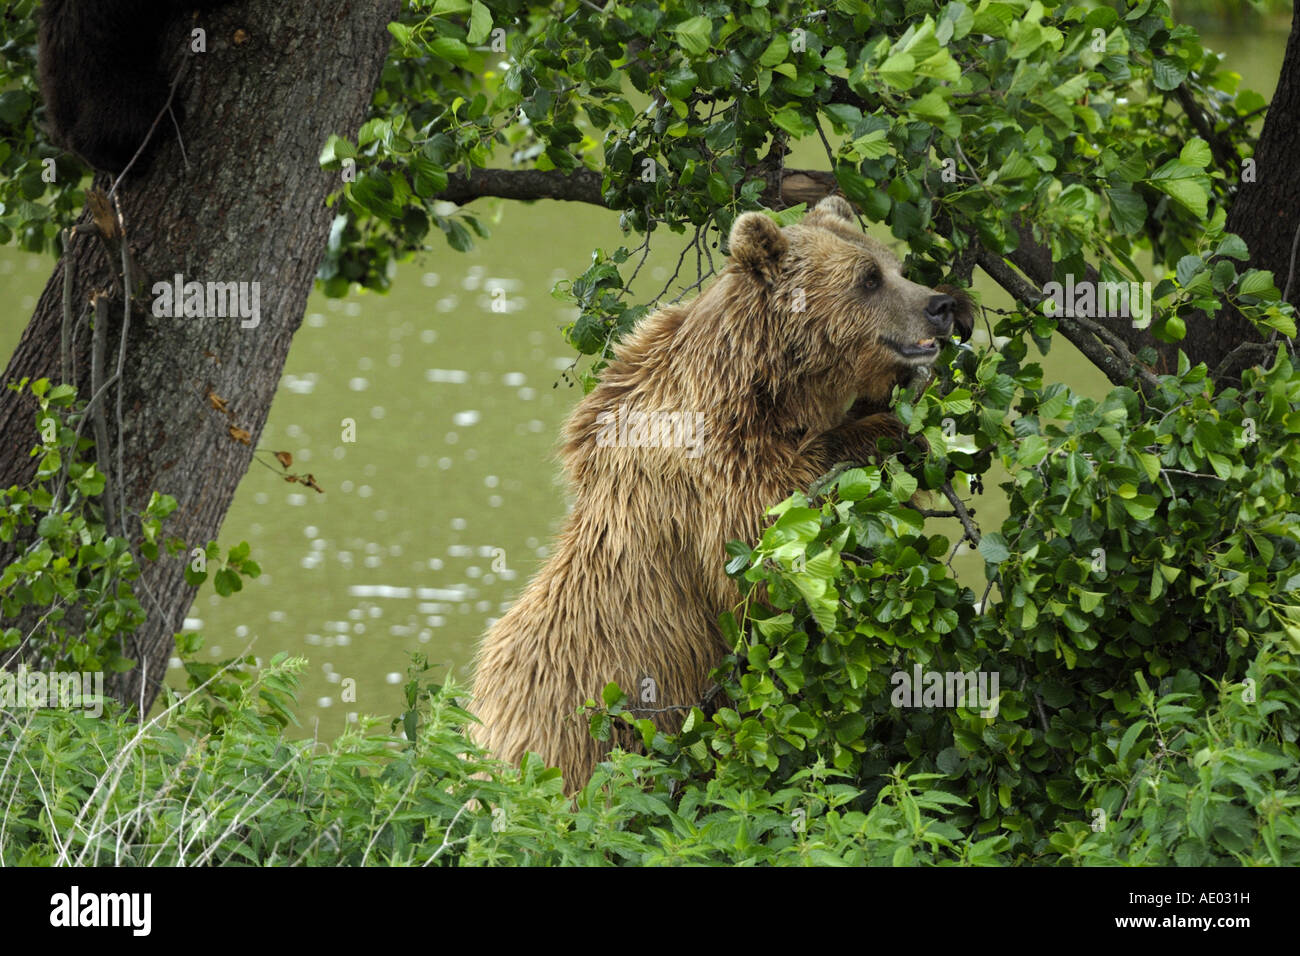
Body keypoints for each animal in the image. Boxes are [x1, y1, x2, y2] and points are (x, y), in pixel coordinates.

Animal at [465, 196, 967, 790]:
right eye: (868, 279)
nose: (940, 305)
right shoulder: (706, 473)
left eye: (895, 264)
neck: (760, 385)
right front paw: (885, 425)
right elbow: (771, 545)